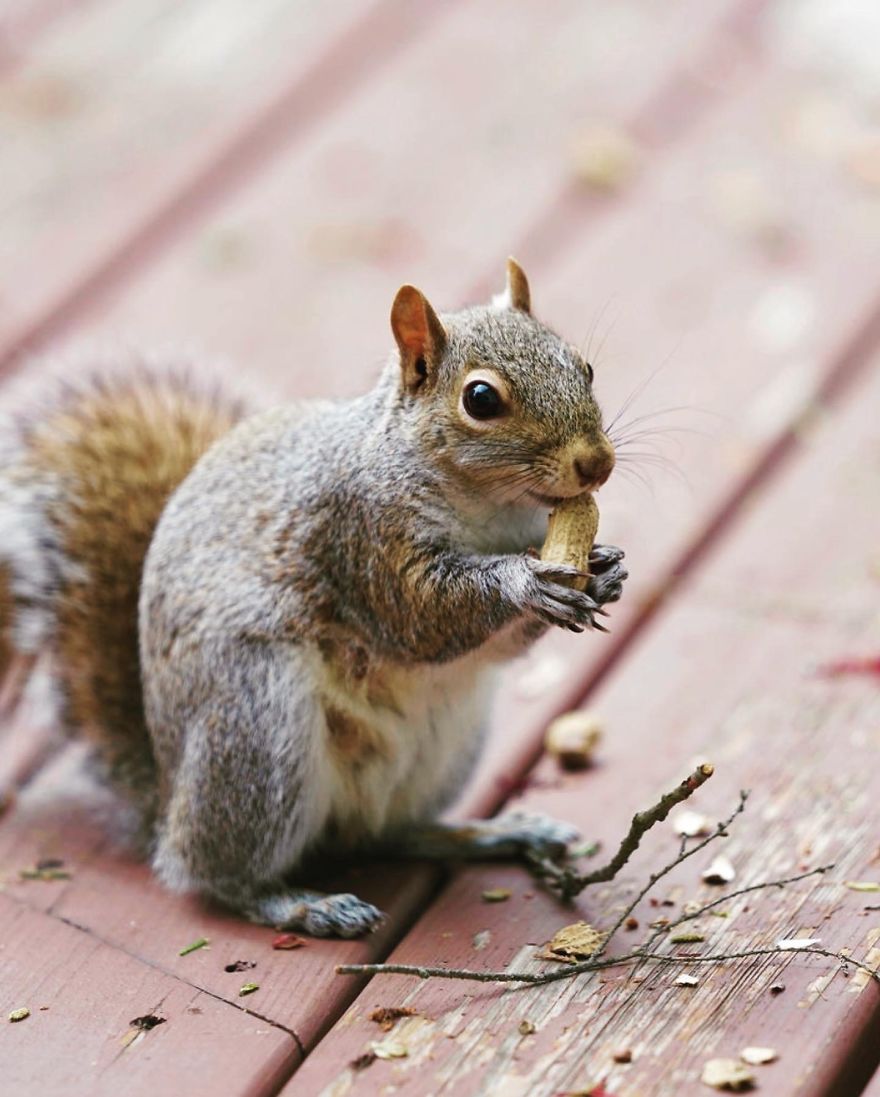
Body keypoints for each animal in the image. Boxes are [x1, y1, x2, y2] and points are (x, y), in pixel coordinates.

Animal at [0, 260, 626, 937]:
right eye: (481, 399)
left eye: (584, 366)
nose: (596, 464)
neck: (490, 510)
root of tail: (166, 801)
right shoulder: (360, 537)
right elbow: (423, 617)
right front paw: (525, 582)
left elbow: (498, 648)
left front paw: (604, 570)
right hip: (257, 728)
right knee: (212, 874)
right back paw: (301, 903)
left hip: (448, 741)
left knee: (389, 835)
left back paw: (486, 834)